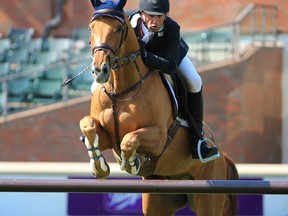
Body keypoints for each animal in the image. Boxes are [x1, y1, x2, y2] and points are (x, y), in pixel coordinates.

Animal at [79, 0, 238, 215]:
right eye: (91, 28)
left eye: (119, 28)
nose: (99, 70)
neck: (121, 89)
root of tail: (222, 155)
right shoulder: (109, 138)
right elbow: (88, 125)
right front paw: (99, 167)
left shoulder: (158, 138)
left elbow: (129, 140)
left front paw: (132, 163)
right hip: (159, 199)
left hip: (208, 198)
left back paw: (204, 148)